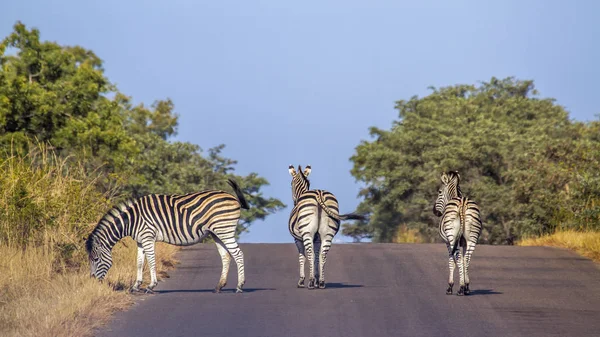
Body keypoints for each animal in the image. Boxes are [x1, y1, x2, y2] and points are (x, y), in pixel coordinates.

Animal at [85, 178, 248, 292]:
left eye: (95, 259)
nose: (92, 282)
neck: (132, 220)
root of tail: (232, 197)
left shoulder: (148, 237)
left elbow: (151, 261)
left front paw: (151, 285)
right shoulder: (140, 241)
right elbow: (139, 262)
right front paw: (136, 286)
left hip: (224, 230)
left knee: (238, 254)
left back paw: (239, 286)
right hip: (217, 233)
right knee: (226, 256)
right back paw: (219, 286)